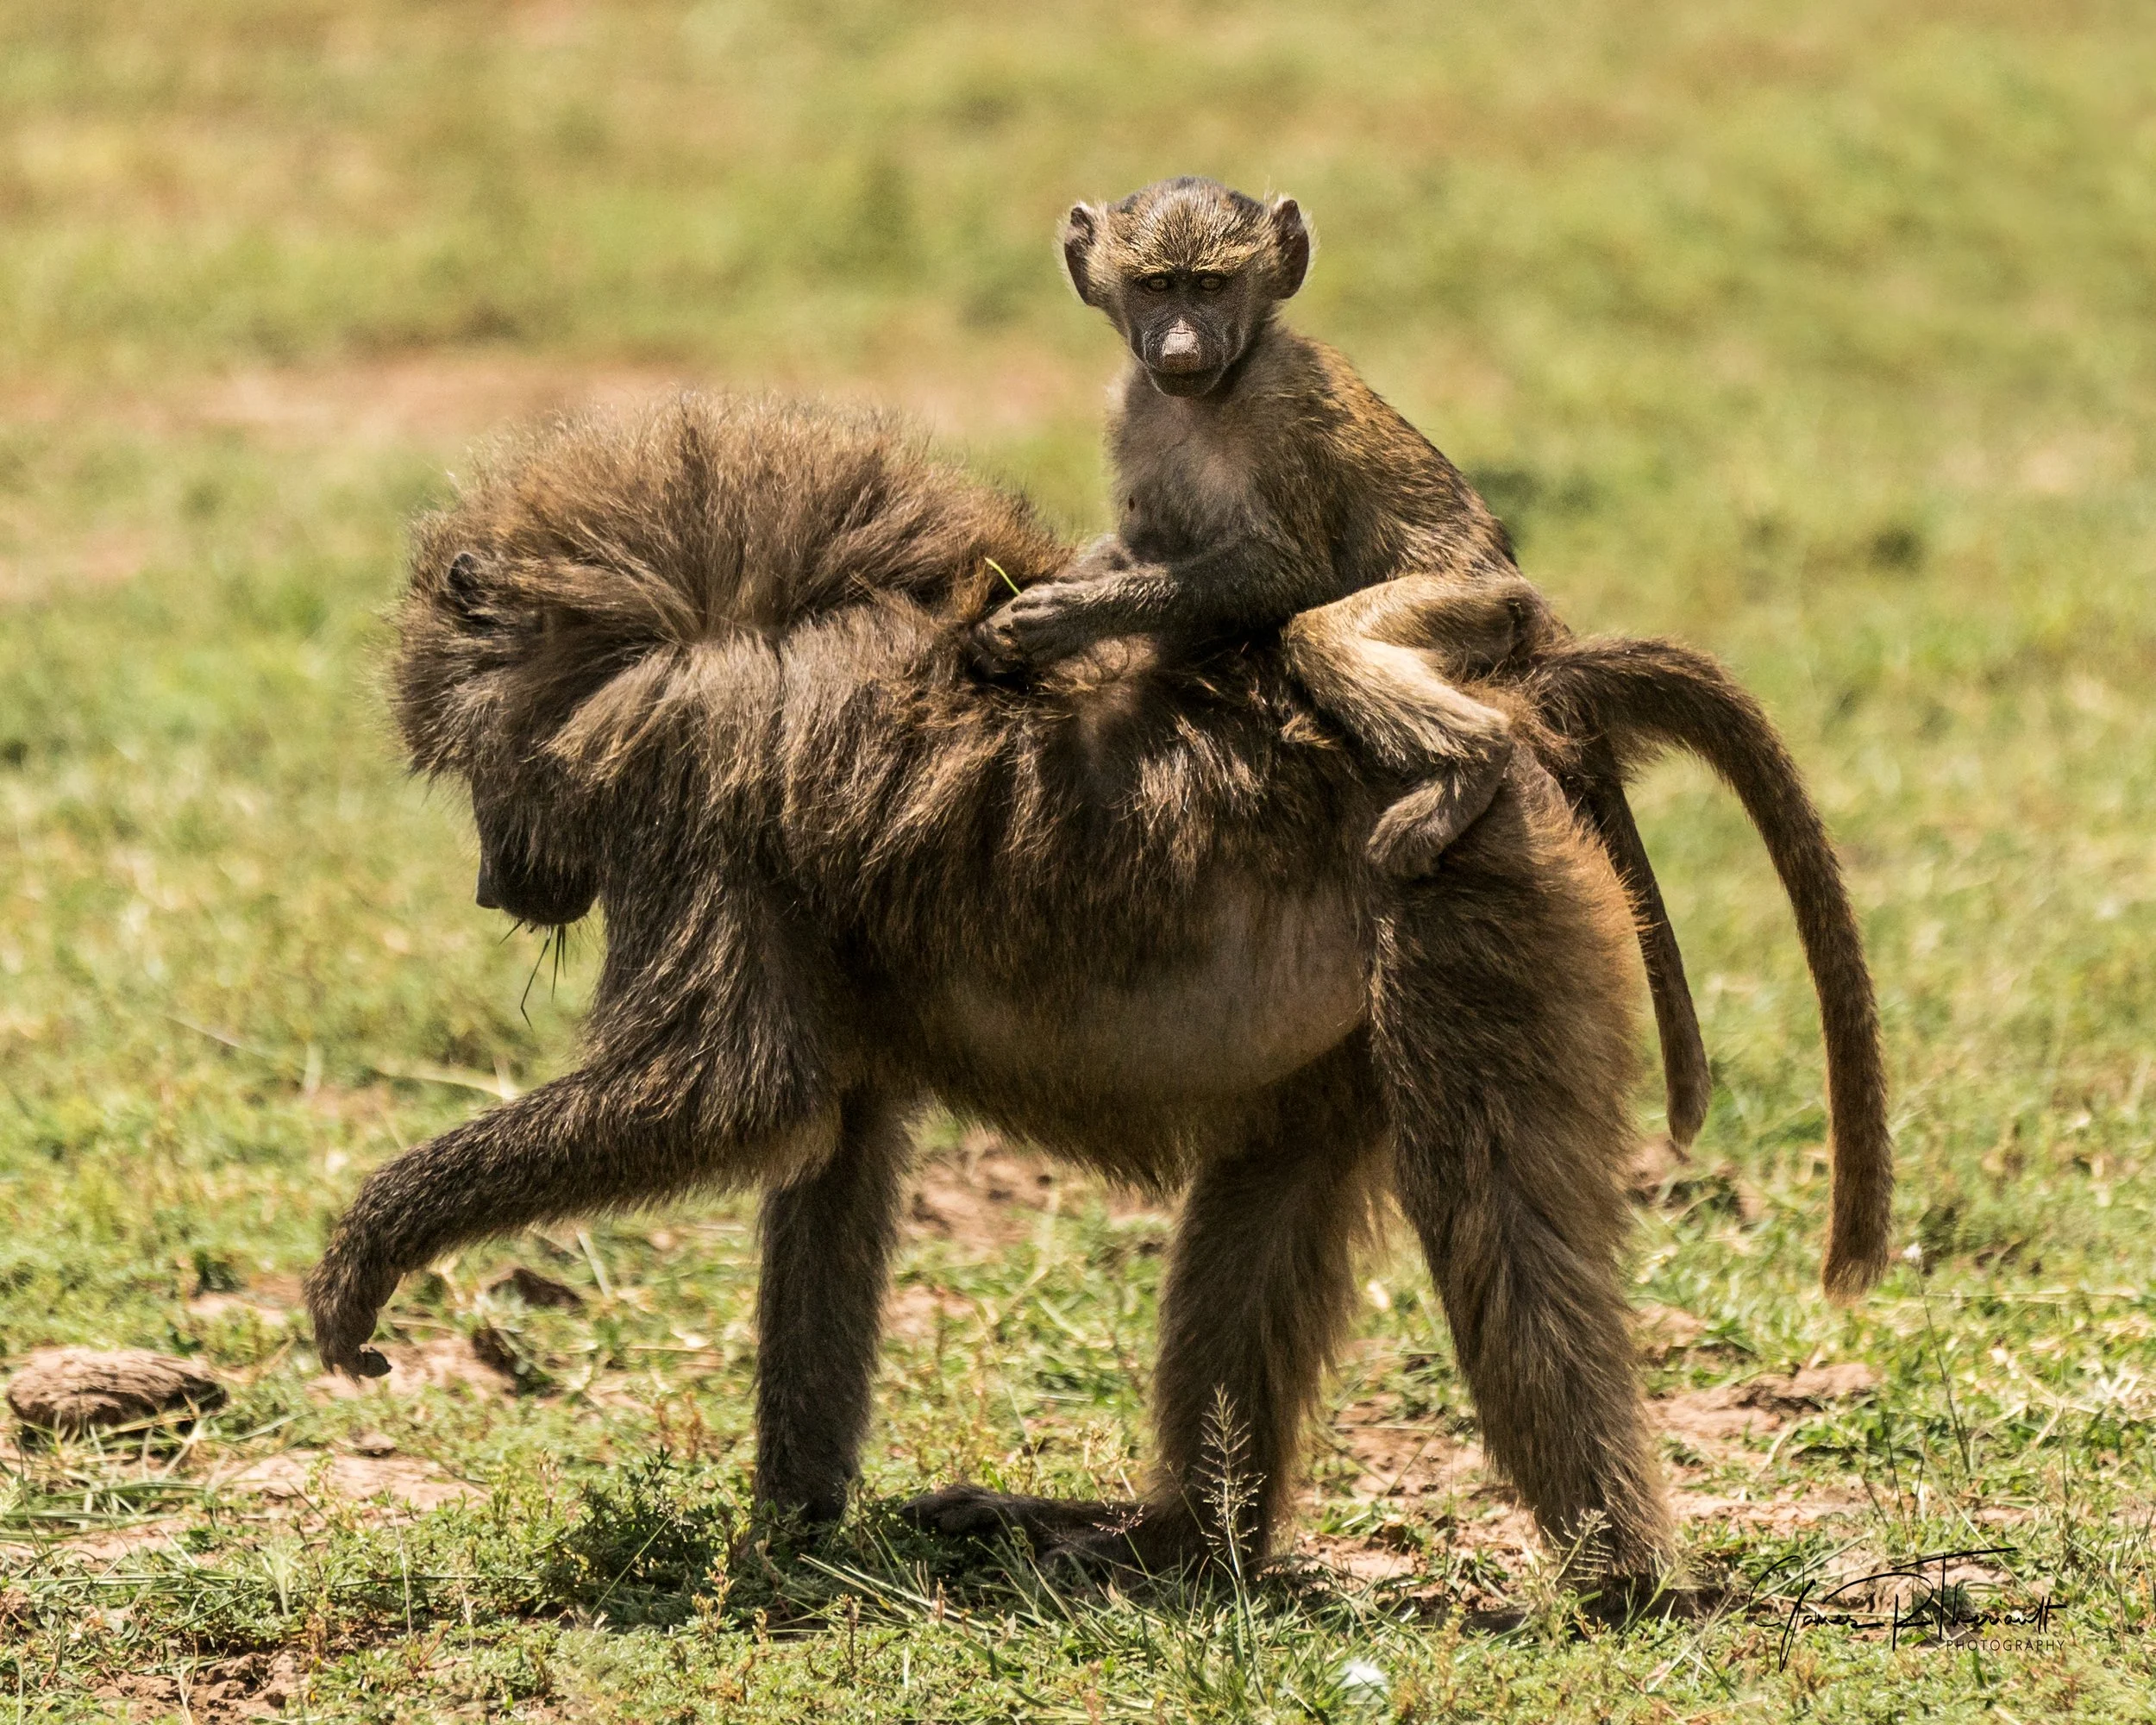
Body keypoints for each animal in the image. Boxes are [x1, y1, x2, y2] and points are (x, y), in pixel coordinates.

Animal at [305, 392, 1889, 1612]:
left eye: (474, 775)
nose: (495, 888)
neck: (701, 616)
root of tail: (1521, 704)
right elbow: (831, 1147)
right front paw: (792, 1531)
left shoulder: (686, 788)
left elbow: (732, 1092)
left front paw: (372, 1251)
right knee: (1269, 1194)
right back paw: (1173, 1547)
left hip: (1465, 900)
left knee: (1492, 1198)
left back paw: (1615, 1578)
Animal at [974, 176, 1715, 1151]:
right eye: (1156, 286)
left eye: (1211, 286)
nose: (1180, 347)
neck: (1210, 397)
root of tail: (1528, 610)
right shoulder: (1134, 410)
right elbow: (1142, 546)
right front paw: (1026, 605)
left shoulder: (1284, 410)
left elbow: (1283, 571)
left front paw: (1060, 619)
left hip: (1469, 606)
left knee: (1323, 636)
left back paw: (1465, 767)